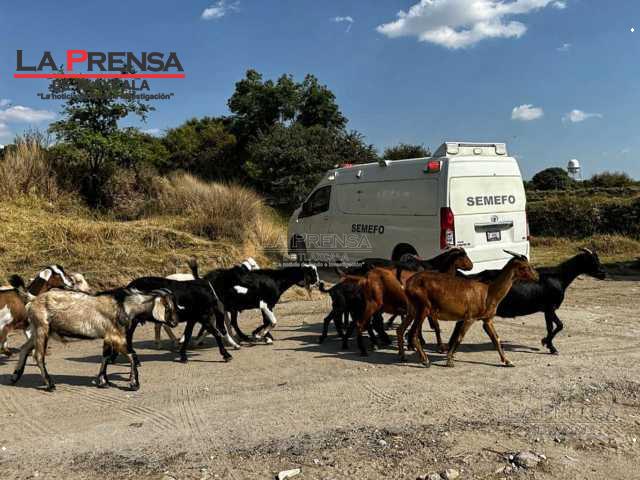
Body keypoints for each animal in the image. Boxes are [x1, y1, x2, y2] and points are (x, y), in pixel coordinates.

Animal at [10, 288, 179, 391]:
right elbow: (131, 355)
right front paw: (134, 383)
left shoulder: (108, 336)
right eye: (168, 307)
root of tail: (33, 300)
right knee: (38, 355)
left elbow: (105, 357)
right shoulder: (115, 335)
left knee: (24, 348)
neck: (124, 305)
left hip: (39, 330)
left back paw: (15, 376)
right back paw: (50, 384)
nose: (175, 322)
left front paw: (103, 382)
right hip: (42, 328)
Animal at [400, 251, 539, 368]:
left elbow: (496, 339)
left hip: (412, 309)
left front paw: (508, 361)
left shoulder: (487, 319)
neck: (488, 293)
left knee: (400, 330)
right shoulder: (470, 318)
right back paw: (425, 361)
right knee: (413, 333)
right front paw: (449, 360)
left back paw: (402, 357)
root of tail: (408, 284)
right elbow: (459, 337)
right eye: (525, 267)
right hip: (423, 308)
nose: (537, 276)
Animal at [458, 248, 606, 354]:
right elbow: (559, 325)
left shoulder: (546, 310)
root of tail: (475, 277)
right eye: (592, 261)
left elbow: (550, 327)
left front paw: (548, 344)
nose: (604, 274)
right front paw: (548, 344)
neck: (558, 277)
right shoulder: (550, 307)